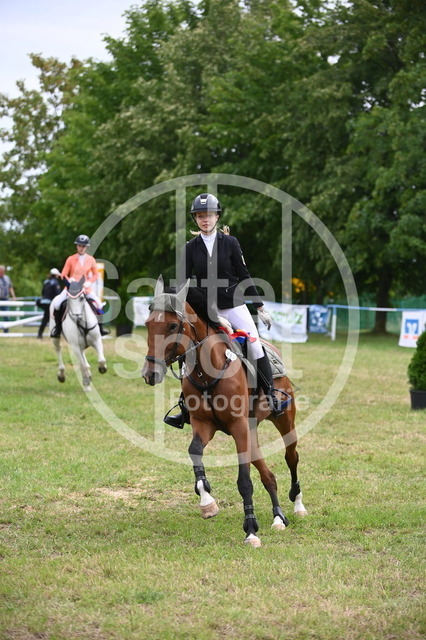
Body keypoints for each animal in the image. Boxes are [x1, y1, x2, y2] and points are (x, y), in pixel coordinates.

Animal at [141, 277, 307, 548]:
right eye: (147, 324)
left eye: (173, 325)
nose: (150, 374)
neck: (207, 373)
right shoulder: (203, 424)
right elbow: (194, 451)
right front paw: (206, 501)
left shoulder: (238, 427)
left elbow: (244, 481)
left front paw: (250, 531)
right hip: (251, 431)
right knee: (268, 475)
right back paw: (278, 518)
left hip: (284, 421)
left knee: (291, 456)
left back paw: (298, 505)